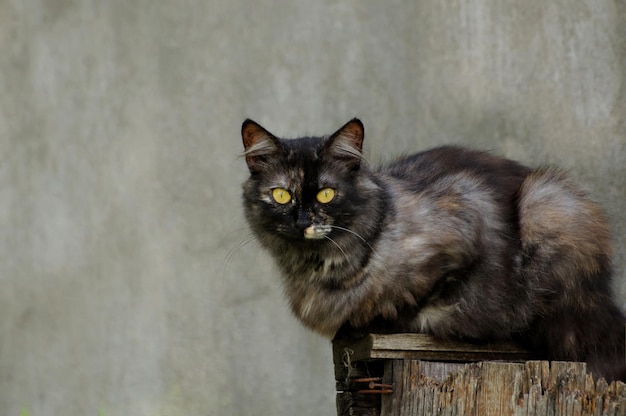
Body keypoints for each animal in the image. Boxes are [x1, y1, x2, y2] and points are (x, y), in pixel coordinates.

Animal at [239, 118, 624, 382]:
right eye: (281, 195)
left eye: (326, 193)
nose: (303, 221)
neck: (320, 270)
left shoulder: (466, 216)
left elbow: (415, 300)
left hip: (546, 202)